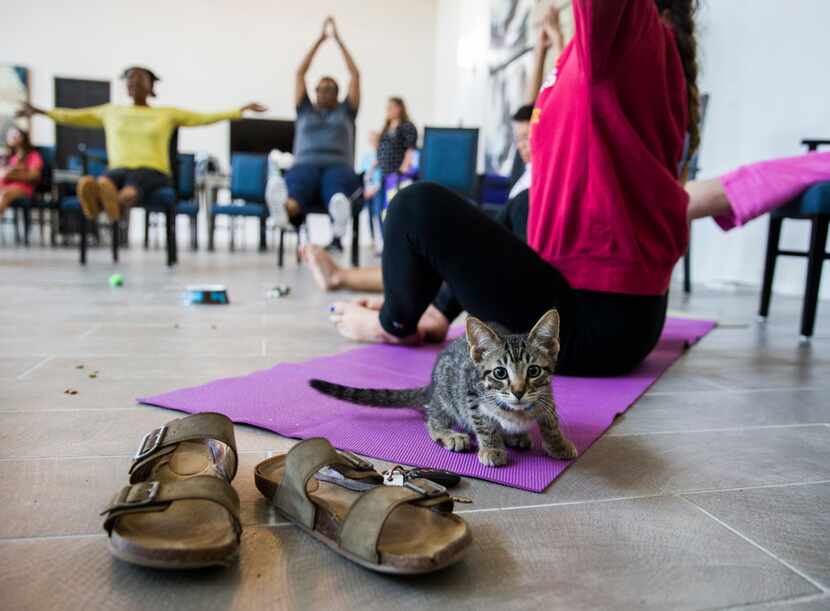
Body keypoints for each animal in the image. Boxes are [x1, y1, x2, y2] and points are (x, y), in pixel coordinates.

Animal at [310, 310, 580, 468]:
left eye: (533, 371)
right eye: (500, 373)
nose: (518, 391)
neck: (517, 410)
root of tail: (432, 385)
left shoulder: (546, 395)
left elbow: (550, 421)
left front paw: (558, 443)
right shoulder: (472, 396)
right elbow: (485, 424)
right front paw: (492, 447)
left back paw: (517, 436)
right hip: (447, 397)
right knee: (432, 419)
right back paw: (451, 434)